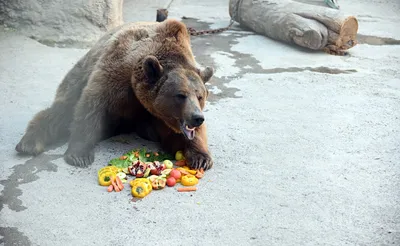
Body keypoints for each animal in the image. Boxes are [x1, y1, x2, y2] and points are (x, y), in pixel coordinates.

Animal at [14, 19, 216, 170]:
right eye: (180, 95)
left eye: (200, 96)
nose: (197, 117)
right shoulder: (117, 72)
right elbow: (92, 107)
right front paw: (80, 155)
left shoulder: (157, 116)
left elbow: (182, 137)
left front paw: (201, 158)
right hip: (78, 75)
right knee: (62, 111)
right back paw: (28, 143)